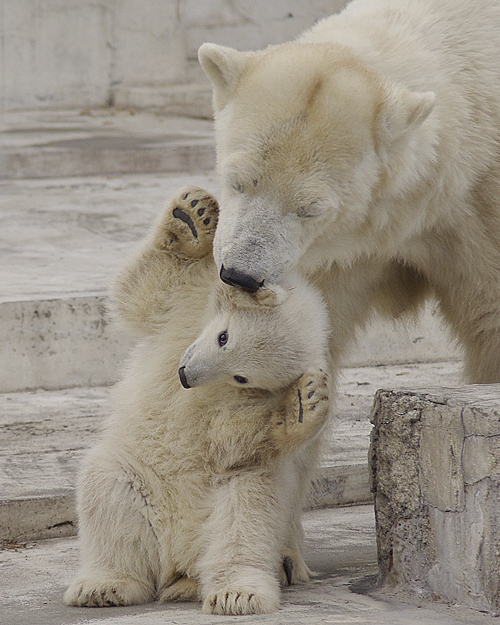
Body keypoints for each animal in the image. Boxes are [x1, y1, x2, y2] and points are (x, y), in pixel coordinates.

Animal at [198, 0, 500, 382]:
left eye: (311, 209)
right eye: (236, 179)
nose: (240, 275)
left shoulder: (475, 206)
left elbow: (489, 316)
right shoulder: (332, 251)